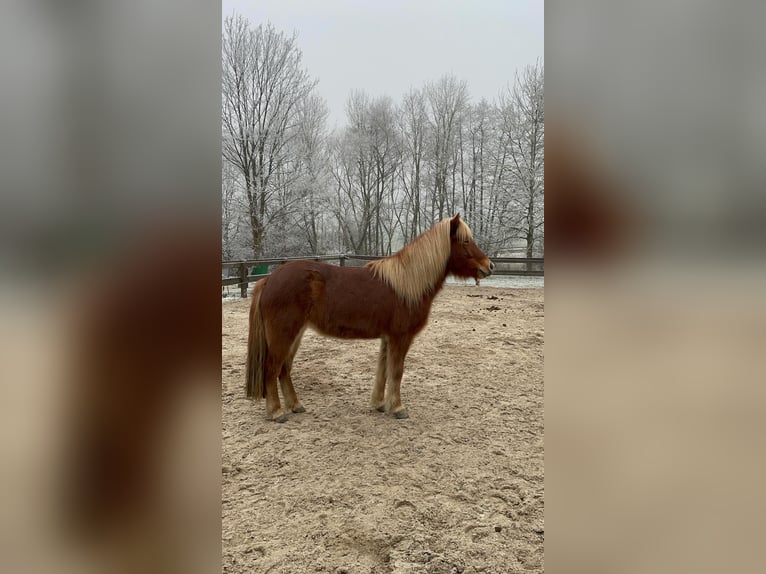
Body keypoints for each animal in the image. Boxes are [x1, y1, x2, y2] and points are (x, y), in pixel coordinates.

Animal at [245, 214, 493, 422]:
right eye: (465, 242)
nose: (489, 266)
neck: (406, 285)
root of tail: (269, 279)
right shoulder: (400, 338)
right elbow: (396, 372)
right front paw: (398, 408)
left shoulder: (387, 338)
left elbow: (382, 371)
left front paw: (379, 404)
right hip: (283, 335)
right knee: (272, 368)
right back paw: (276, 412)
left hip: (295, 335)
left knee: (284, 369)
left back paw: (296, 405)